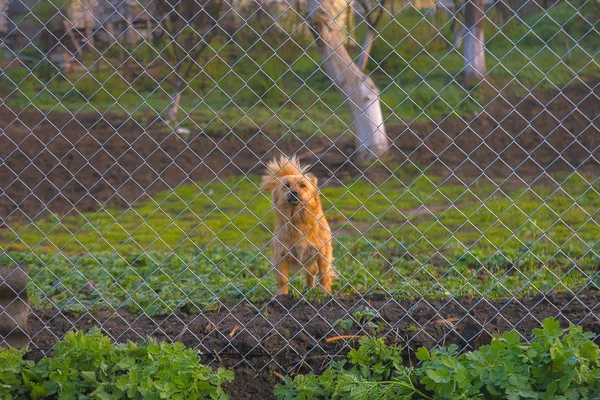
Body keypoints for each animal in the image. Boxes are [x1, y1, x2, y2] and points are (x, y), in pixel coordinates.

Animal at [262, 155, 336, 294]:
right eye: (286, 186)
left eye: (303, 185)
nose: (294, 192)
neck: (297, 220)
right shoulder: (281, 256)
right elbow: (283, 280)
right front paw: (281, 296)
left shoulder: (322, 253)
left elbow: (324, 275)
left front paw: (325, 294)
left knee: (312, 274)